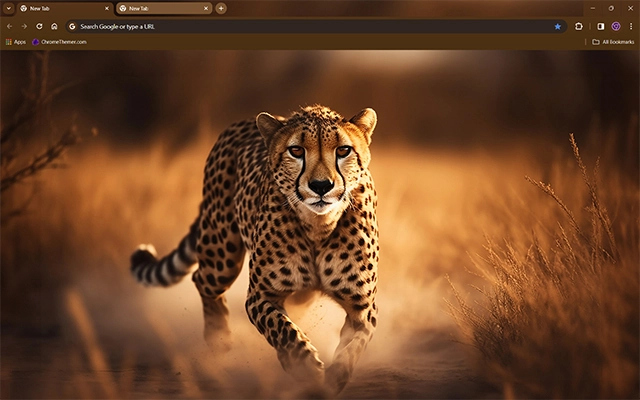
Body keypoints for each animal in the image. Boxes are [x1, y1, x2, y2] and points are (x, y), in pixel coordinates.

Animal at [130, 105, 379, 395]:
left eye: (343, 150)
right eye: (296, 151)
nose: (320, 186)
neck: (318, 226)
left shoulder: (362, 308)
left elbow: (353, 347)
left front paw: (334, 378)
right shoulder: (261, 295)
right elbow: (283, 330)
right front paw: (304, 366)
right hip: (221, 254)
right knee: (202, 280)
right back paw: (218, 339)